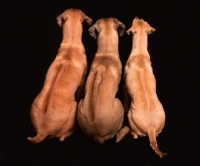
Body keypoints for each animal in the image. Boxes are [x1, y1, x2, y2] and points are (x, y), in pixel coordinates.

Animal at [26, 8, 92, 143]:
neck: (71, 44)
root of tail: (42, 130)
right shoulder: (82, 82)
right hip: (73, 106)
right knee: (62, 137)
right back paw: (72, 131)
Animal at [123, 17, 167, 158]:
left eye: (134, 22)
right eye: (142, 20)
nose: (136, 16)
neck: (140, 55)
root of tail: (151, 129)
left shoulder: (125, 88)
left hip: (131, 117)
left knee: (135, 134)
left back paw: (132, 133)